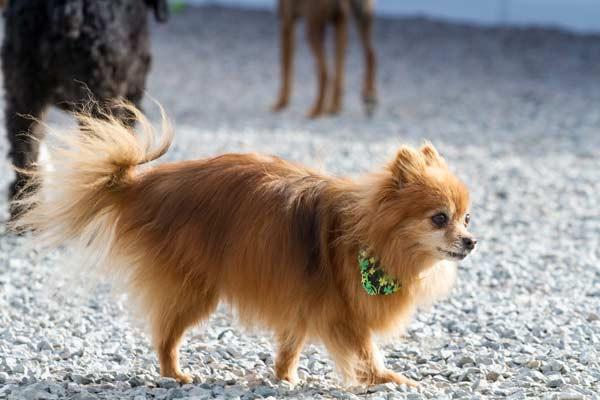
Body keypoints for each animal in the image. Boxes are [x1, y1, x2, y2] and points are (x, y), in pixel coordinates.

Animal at [11, 104, 476, 386]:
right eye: (439, 218)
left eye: (467, 217)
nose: (472, 241)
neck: (368, 235)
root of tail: (142, 183)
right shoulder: (340, 310)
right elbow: (365, 351)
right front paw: (390, 380)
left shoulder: (304, 299)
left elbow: (291, 345)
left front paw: (284, 378)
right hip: (195, 289)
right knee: (165, 336)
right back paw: (175, 375)